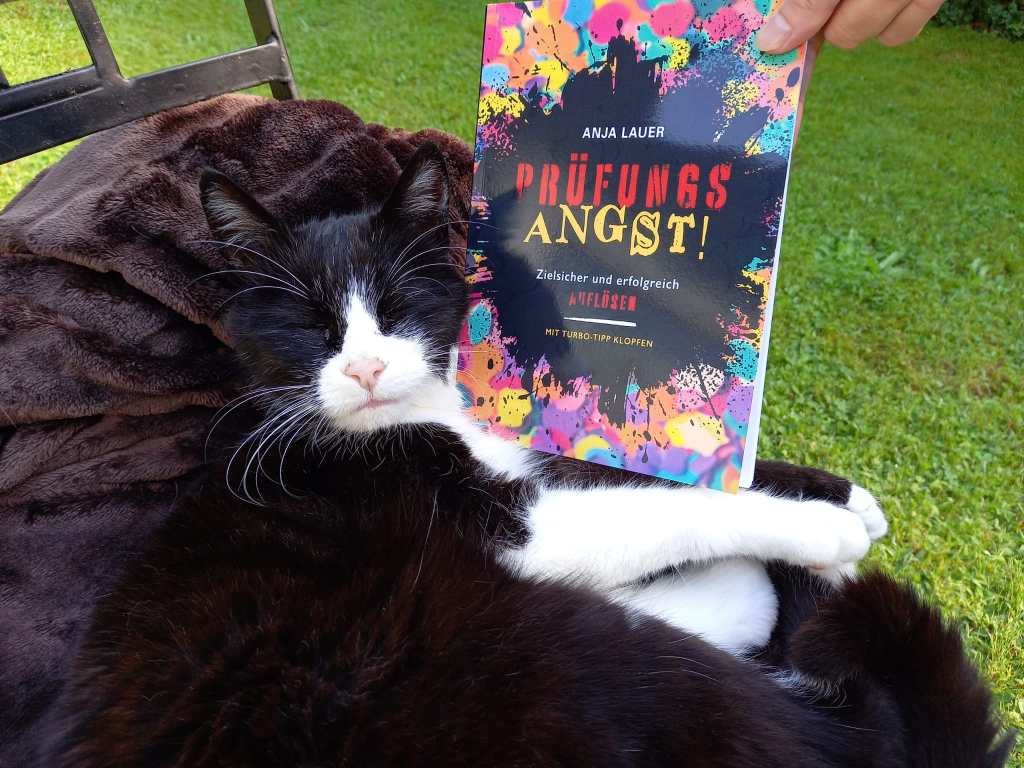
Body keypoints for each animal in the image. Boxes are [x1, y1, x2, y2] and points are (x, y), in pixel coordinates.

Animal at [36, 143, 1013, 767]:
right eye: (310, 326)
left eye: (396, 308)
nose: (364, 367)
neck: (419, 416)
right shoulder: (496, 520)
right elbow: (662, 504)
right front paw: (823, 532)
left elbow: (622, 464)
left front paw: (845, 496)